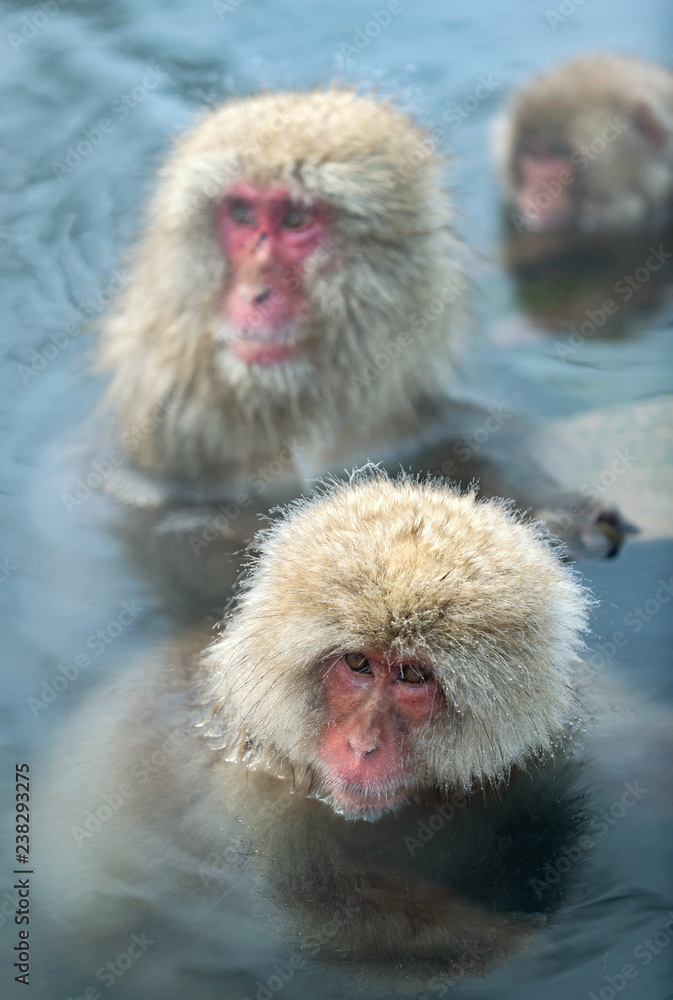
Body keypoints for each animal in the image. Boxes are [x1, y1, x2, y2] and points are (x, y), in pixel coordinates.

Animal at [36, 472, 592, 998]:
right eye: (357, 663)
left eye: (413, 675)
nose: (362, 745)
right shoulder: (263, 803)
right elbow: (331, 916)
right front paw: (525, 947)